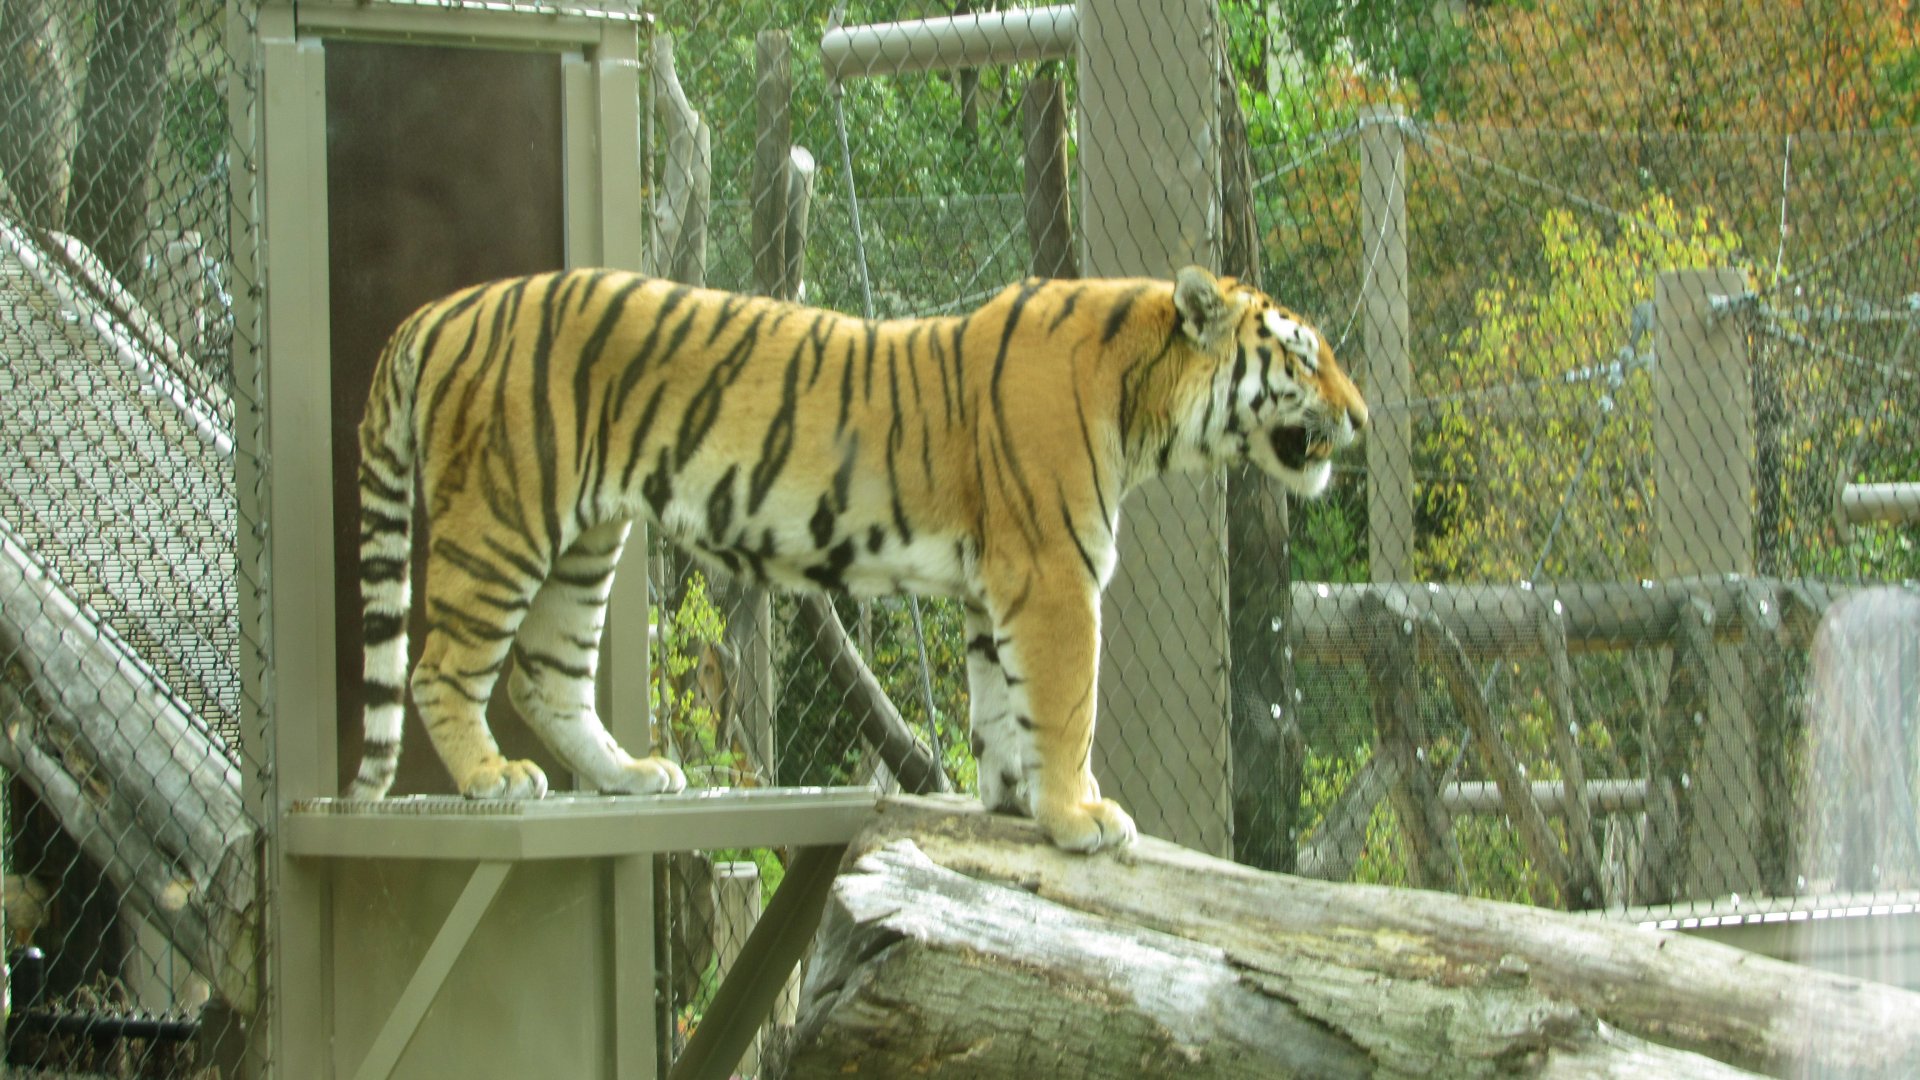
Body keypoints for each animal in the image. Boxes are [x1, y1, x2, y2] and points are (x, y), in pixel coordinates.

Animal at [349, 265, 1367, 853]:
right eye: (1304, 355)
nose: (1360, 416)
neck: (1145, 405)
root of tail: (442, 307)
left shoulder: (996, 584)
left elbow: (1001, 702)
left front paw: (1012, 800)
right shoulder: (1052, 575)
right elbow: (1067, 704)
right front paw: (1080, 816)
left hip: (586, 538)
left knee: (544, 678)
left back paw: (629, 776)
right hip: (502, 519)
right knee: (442, 666)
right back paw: (491, 779)